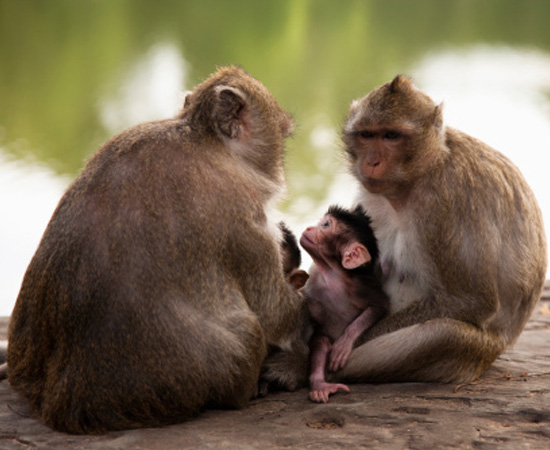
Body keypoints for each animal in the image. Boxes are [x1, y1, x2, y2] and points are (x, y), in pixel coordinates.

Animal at [6, 65, 310, 434]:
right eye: (283, 136)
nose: (280, 172)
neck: (206, 142)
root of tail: (66, 405)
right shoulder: (244, 212)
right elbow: (275, 312)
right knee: (250, 330)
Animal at [302, 206, 388, 402]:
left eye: (325, 225)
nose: (309, 228)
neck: (332, 274)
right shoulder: (313, 282)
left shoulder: (360, 286)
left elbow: (380, 306)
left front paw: (343, 344)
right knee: (321, 342)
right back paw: (320, 385)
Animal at [336, 75, 550, 384]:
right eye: (367, 135)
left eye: (391, 136)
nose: (371, 162)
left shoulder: (450, 198)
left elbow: (471, 302)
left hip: (479, 353)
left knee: (445, 334)